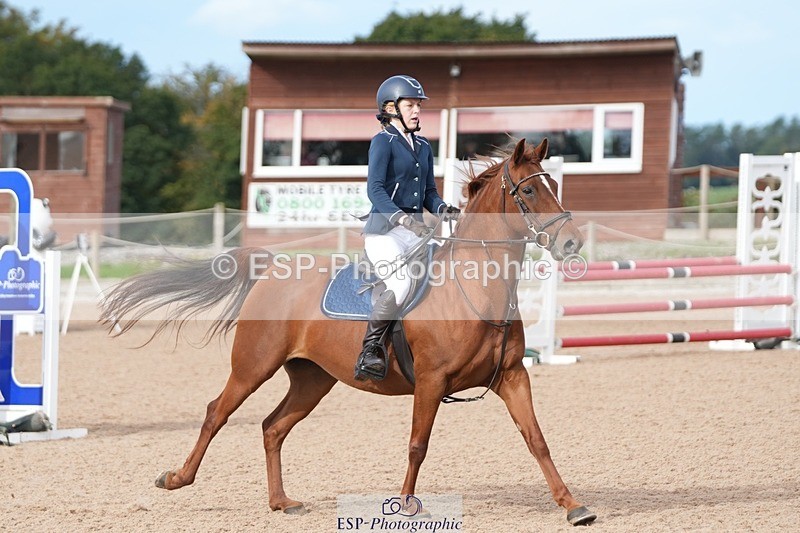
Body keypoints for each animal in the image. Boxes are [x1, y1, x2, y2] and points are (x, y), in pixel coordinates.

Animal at [100, 137, 596, 526]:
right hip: (253, 366)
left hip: (313, 379)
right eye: (528, 190)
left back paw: (281, 502)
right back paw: (176, 478)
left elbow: (537, 439)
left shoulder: (512, 376)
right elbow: (417, 445)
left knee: (272, 427)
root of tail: (273, 270)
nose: (571, 241)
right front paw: (405, 505)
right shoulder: (431, 382)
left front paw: (573, 505)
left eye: (554, 186)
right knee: (215, 413)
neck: (474, 289)